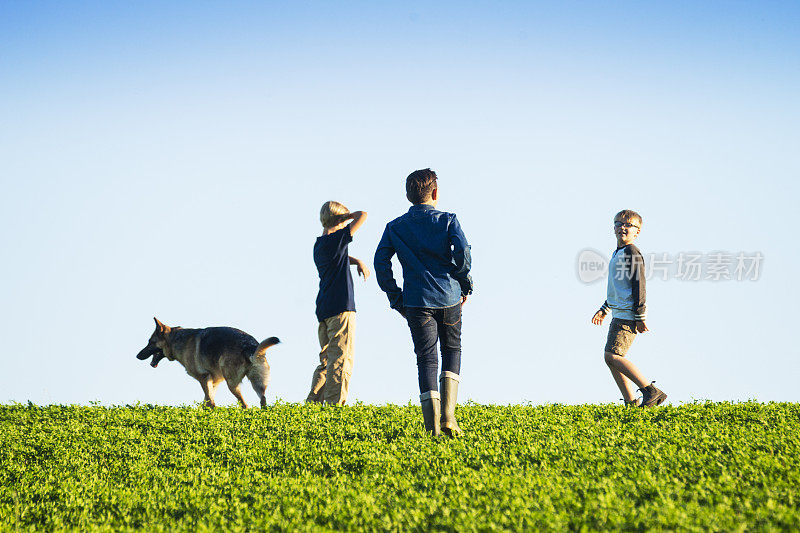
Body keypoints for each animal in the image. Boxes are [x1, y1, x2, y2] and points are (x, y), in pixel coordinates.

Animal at [134, 316, 278, 408]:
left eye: (150, 342)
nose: (137, 356)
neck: (175, 340)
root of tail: (250, 346)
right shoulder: (214, 382)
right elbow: (206, 402)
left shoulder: (204, 378)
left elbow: (209, 402)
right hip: (257, 383)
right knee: (262, 400)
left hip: (232, 383)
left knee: (245, 404)